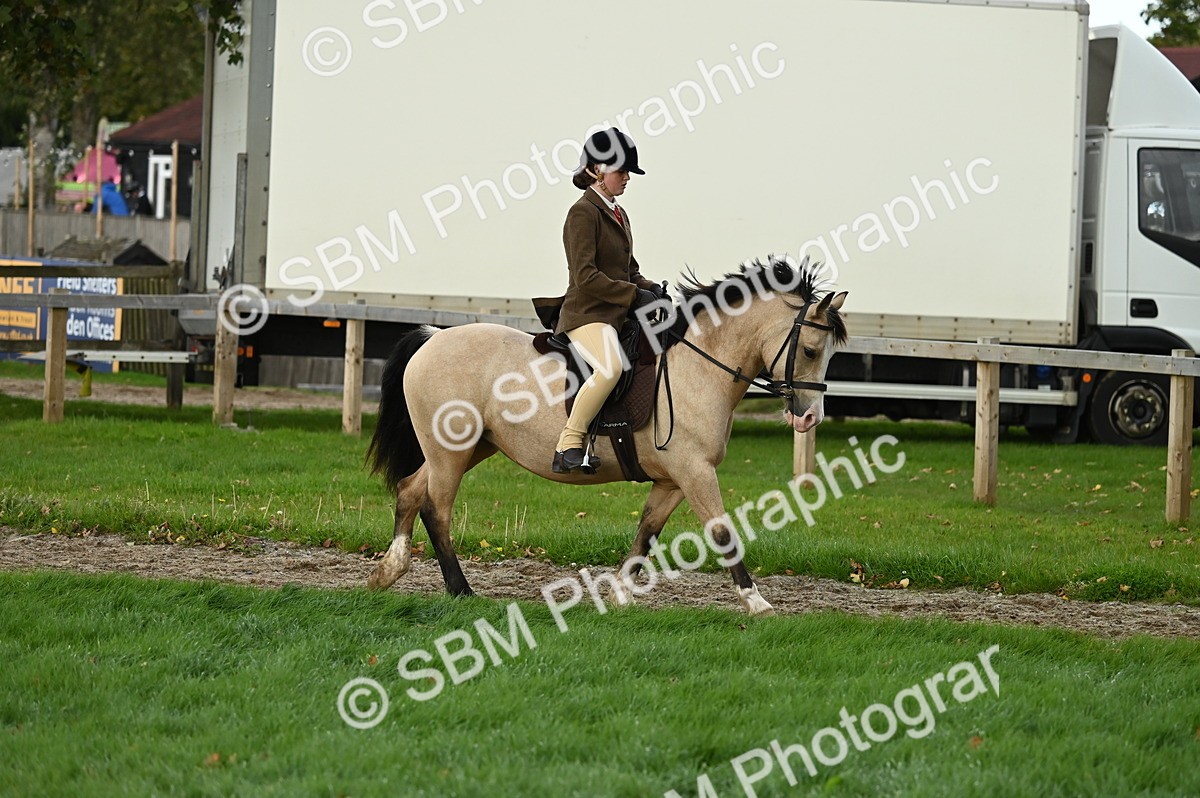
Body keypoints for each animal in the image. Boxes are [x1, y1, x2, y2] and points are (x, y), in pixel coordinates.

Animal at [366, 256, 848, 615]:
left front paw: (618, 595)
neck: (699, 365)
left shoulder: (673, 480)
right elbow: (722, 531)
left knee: (410, 491)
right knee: (436, 509)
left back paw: (388, 572)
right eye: (809, 350)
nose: (810, 418)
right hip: (451, 451)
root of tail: (434, 337)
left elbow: (646, 532)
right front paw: (756, 602)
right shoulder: (695, 472)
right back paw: (459, 589)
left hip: (469, 448)